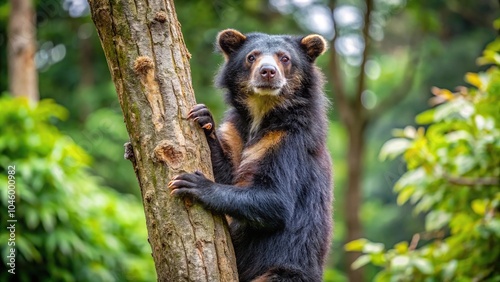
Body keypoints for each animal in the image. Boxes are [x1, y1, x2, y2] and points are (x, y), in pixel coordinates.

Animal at [170, 29, 334, 282]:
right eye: (251, 57)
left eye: (285, 58)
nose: (267, 72)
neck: (262, 110)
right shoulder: (237, 131)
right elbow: (228, 170)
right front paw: (203, 118)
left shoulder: (290, 142)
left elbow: (276, 199)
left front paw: (193, 184)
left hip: (284, 269)